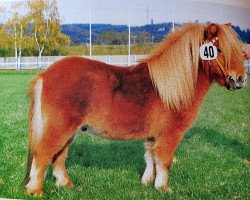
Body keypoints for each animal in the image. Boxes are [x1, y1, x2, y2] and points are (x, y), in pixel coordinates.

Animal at [24, 23, 247, 195]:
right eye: (220, 50)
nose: (240, 79)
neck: (172, 87)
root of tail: (46, 74)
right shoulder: (170, 134)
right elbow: (164, 160)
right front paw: (163, 188)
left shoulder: (153, 135)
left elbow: (151, 158)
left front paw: (147, 182)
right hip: (59, 128)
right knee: (43, 153)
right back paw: (36, 190)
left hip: (69, 131)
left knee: (59, 156)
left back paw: (66, 185)